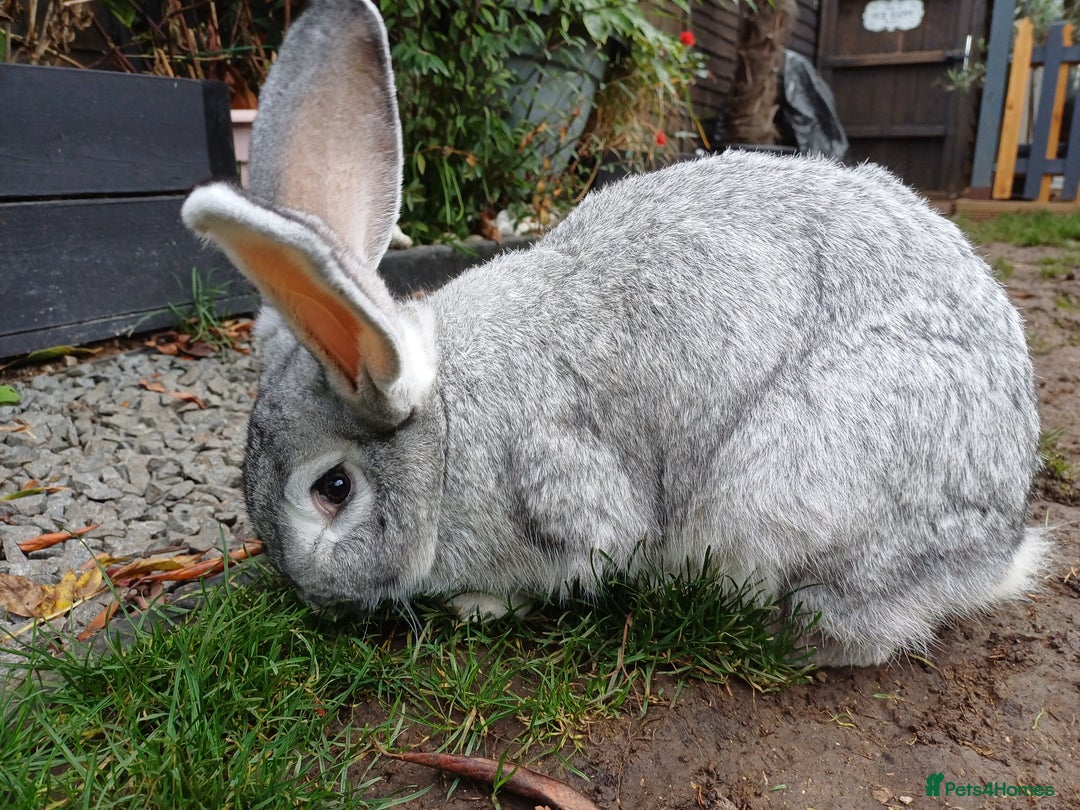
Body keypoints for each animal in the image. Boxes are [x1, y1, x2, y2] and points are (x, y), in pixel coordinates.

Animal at [181, 0, 1049, 667]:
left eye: (333, 489)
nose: (313, 597)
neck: (451, 429)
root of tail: (994, 554)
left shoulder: (566, 491)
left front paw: (476, 605)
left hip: (797, 492)